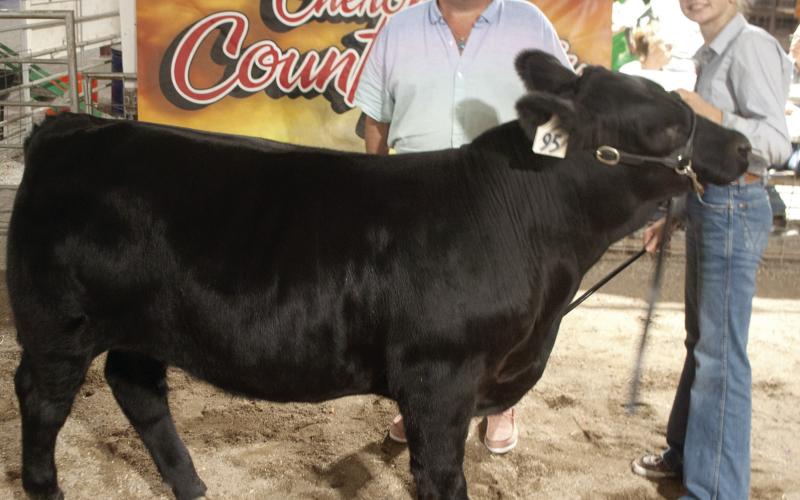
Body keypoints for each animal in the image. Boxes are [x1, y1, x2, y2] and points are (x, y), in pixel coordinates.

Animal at [7, 50, 749, 500]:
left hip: (144, 322)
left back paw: (191, 485)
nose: (742, 146)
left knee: (138, 390)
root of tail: (71, 129)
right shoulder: (440, 375)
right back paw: (46, 486)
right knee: (42, 399)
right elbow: (441, 474)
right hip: (57, 324)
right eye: (663, 128)